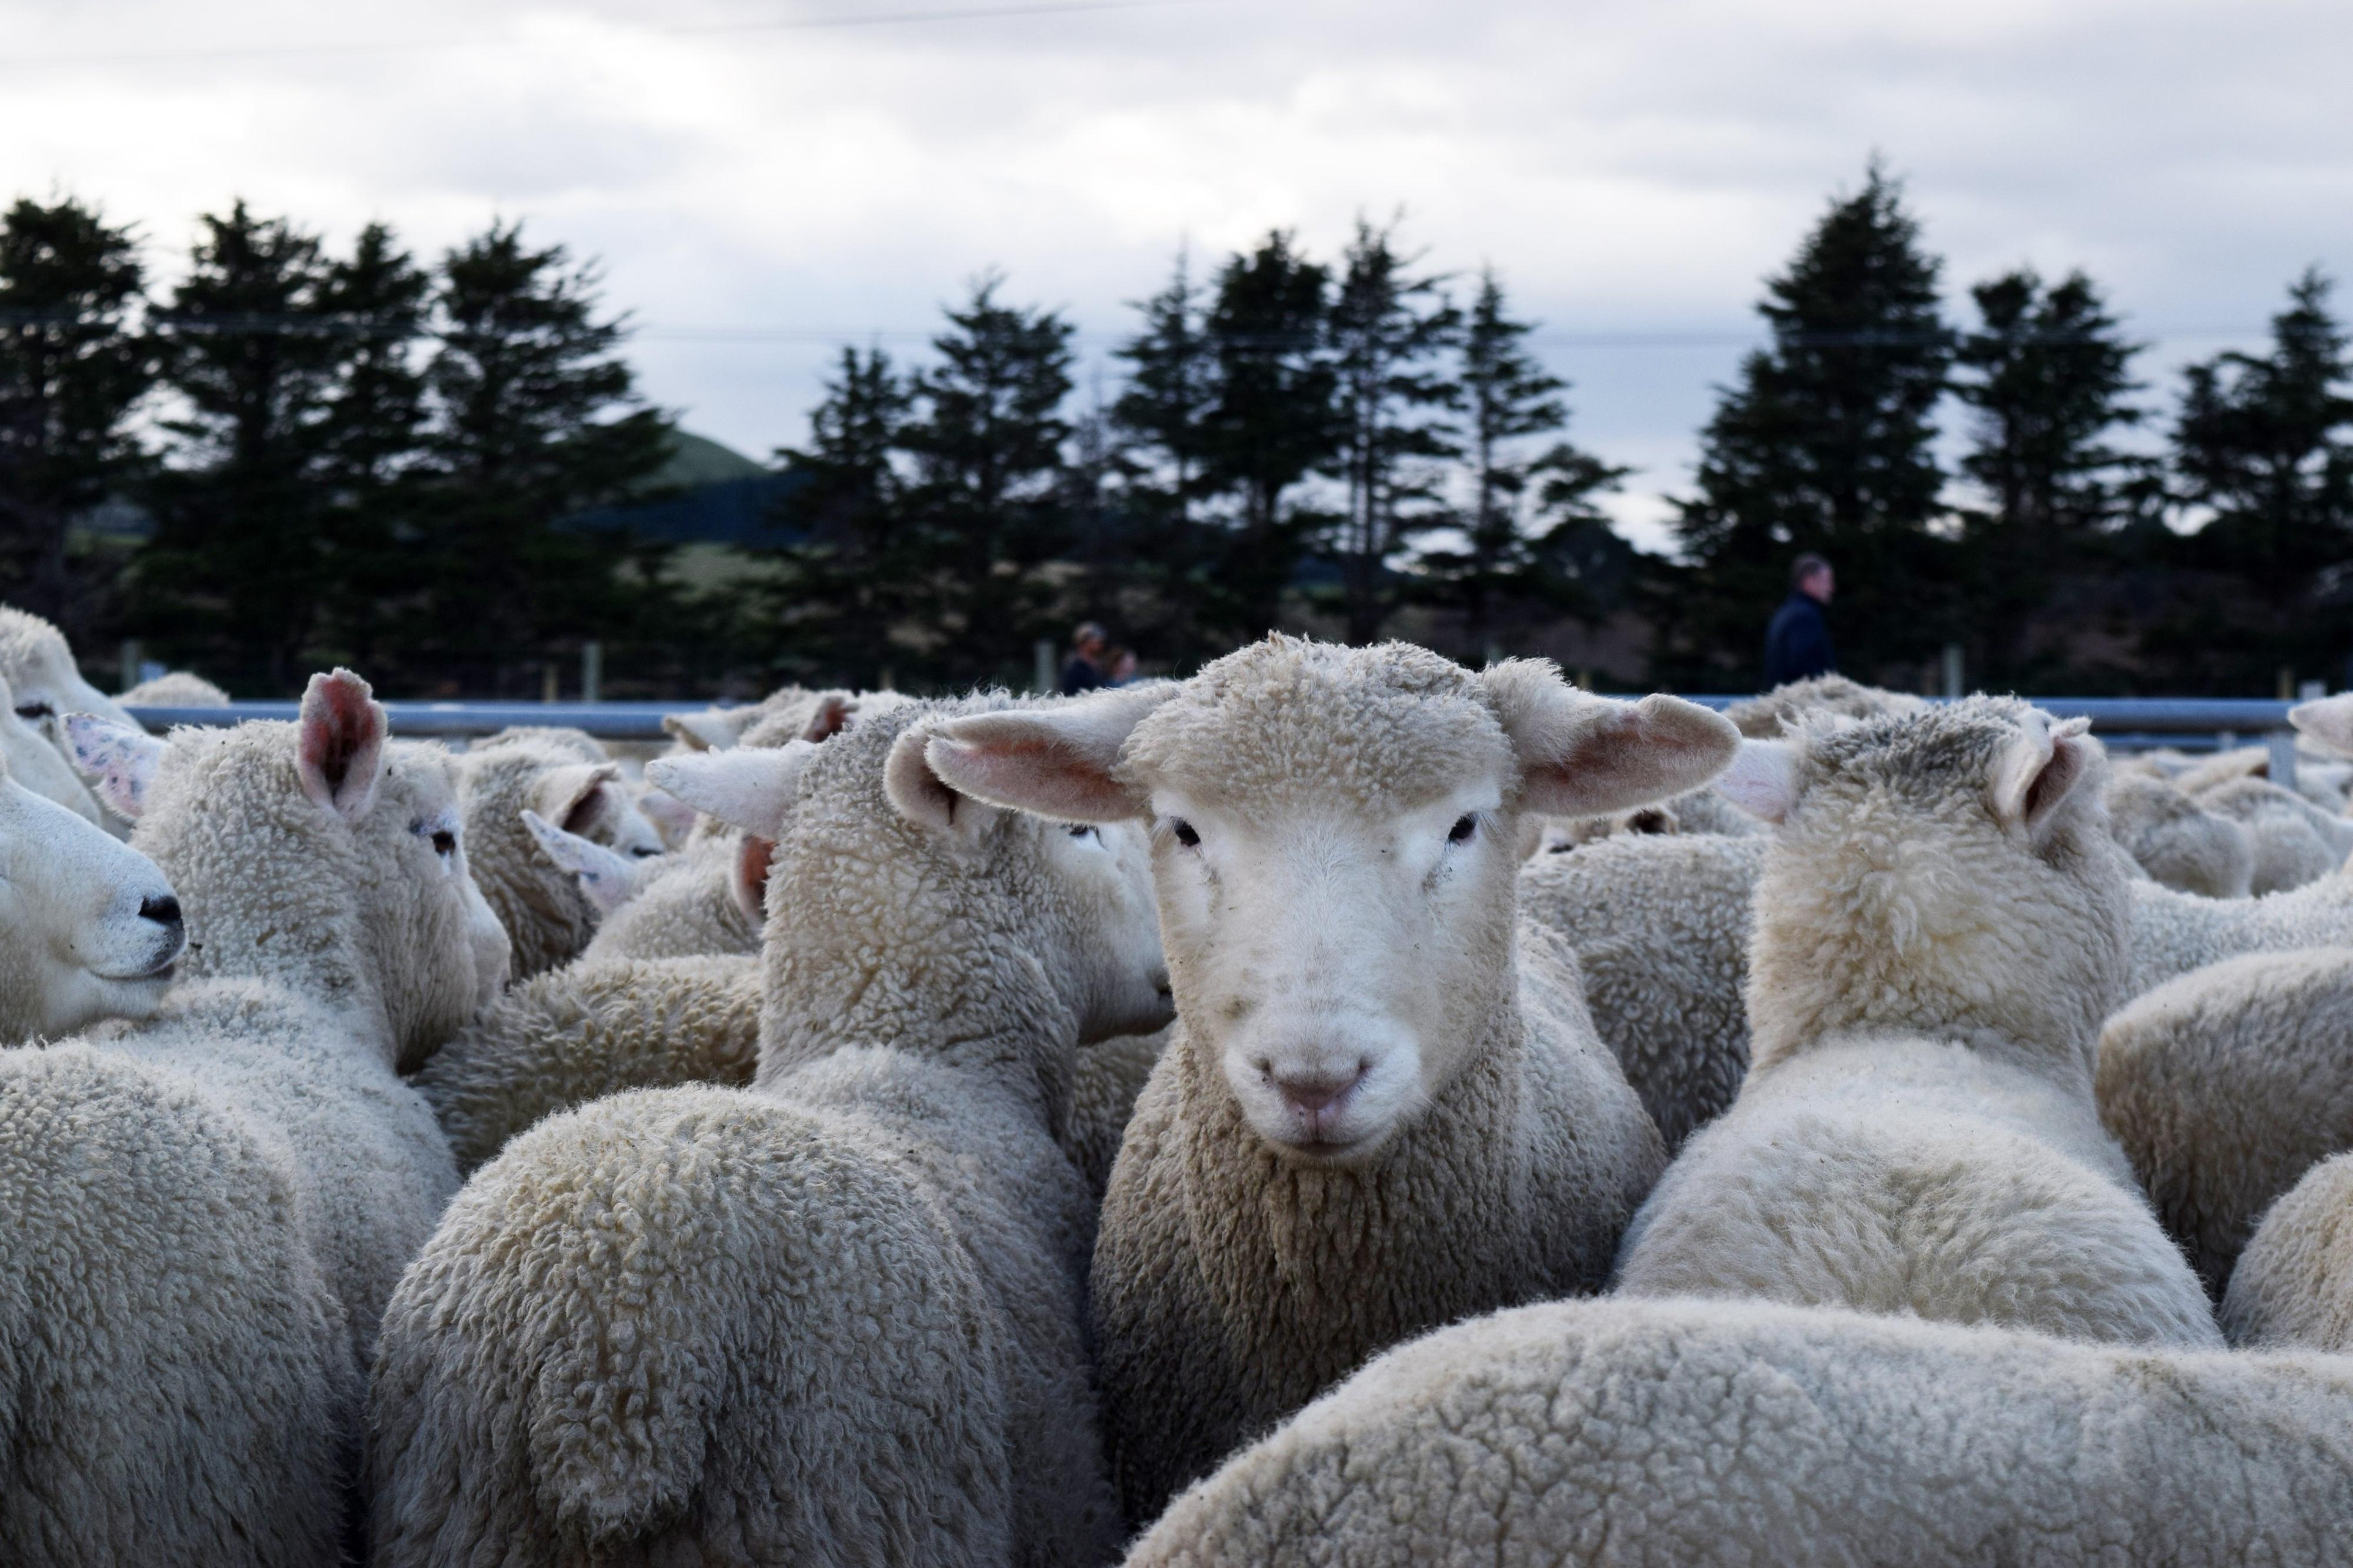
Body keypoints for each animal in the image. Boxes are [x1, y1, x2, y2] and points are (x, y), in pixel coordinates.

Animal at [368, 692, 1172, 1567]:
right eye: (1081, 830)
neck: (910, 1051)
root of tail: (617, 1375)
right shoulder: (1066, 1493)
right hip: (826, 1504)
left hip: (464, 1517)